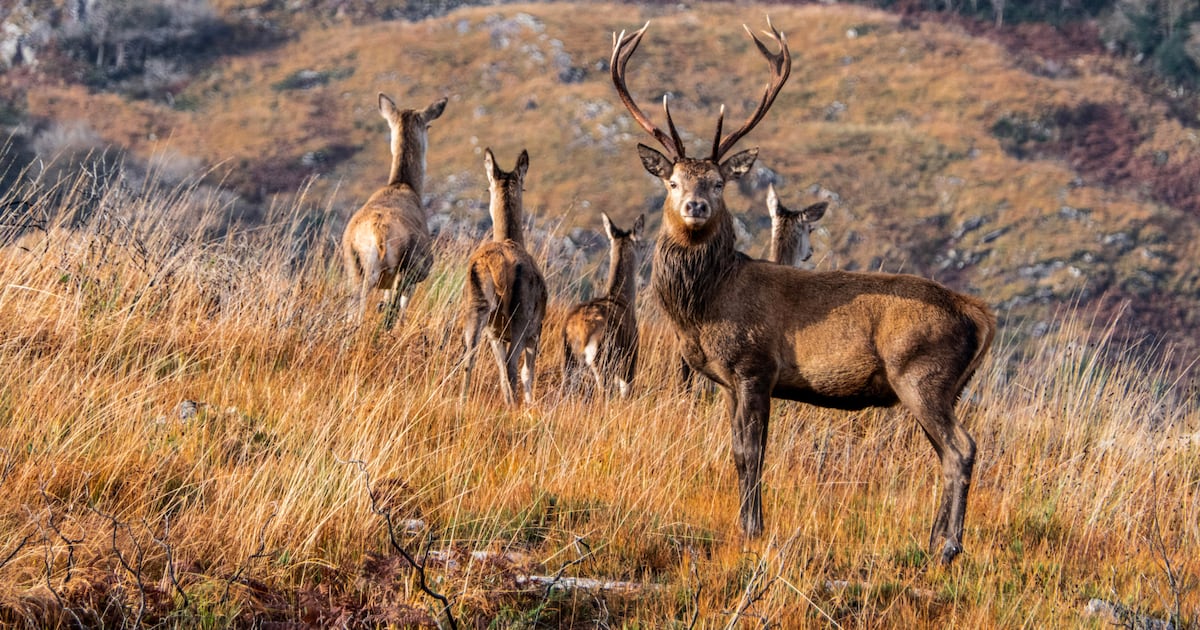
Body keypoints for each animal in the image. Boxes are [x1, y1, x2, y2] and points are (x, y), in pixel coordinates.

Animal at [342, 93, 446, 330]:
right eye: (428, 125)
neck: (404, 185)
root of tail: (378, 234)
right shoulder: (416, 272)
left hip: (353, 266)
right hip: (399, 268)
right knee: (383, 313)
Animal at [460, 149, 548, 406]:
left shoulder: (495, 333)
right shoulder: (536, 329)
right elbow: (527, 372)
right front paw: (528, 405)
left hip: (476, 305)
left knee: (470, 354)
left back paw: (461, 403)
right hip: (521, 313)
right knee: (511, 364)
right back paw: (517, 406)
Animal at [562, 212, 645, 398]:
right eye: (641, 245)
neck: (623, 299)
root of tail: (579, 332)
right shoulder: (630, 356)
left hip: (569, 360)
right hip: (603, 358)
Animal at [611, 19, 996, 564]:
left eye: (718, 183)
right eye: (672, 181)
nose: (695, 207)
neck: (704, 308)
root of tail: (978, 313)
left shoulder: (755, 366)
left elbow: (752, 452)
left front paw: (753, 529)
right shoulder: (727, 380)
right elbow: (735, 450)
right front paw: (747, 523)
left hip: (923, 373)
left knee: (962, 448)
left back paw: (949, 548)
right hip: (944, 385)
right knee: (945, 453)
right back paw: (930, 541)